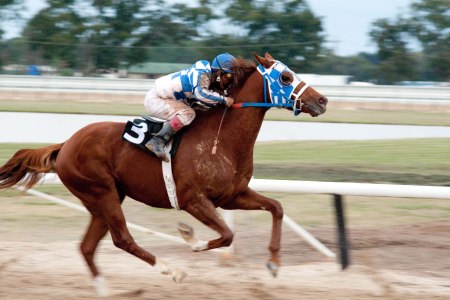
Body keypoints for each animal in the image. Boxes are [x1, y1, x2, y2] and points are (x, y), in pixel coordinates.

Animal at [0, 52, 326, 294]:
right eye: (285, 77)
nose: (322, 100)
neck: (221, 139)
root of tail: (66, 144)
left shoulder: (233, 195)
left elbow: (276, 207)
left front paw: (274, 263)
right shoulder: (193, 200)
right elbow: (226, 235)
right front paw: (190, 239)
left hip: (103, 199)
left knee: (88, 247)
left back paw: (105, 289)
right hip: (102, 193)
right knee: (122, 239)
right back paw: (173, 271)